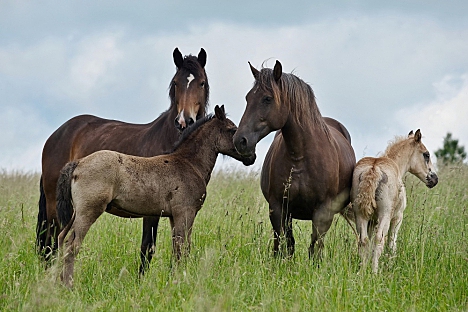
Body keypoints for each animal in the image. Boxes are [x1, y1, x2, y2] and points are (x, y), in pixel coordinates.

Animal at [37, 47, 209, 274]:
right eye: (175, 83)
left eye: (201, 83)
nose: (184, 121)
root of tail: (56, 134)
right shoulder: (152, 211)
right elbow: (148, 246)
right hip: (53, 206)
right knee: (50, 244)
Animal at [56, 106, 258, 288]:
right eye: (232, 129)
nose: (252, 156)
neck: (188, 163)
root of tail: (78, 163)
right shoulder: (185, 212)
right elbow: (182, 248)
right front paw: (180, 281)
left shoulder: (174, 216)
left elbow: (179, 247)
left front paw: (174, 278)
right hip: (88, 211)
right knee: (72, 245)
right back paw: (69, 285)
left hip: (76, 213)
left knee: (61, 238)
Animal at [232, 60, 356, 258]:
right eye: (247, 98)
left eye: (267, 98)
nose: (240, 141)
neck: (300, 157)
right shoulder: (278, 208)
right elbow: (283, 245)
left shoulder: (323, 212)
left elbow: (315, 248)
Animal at [352, 130, 438, 272]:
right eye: (426, 154)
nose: (434, 179)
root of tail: (374, 168)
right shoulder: (397, 217)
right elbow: (392, 242)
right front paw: (391, 264)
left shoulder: (371, 221)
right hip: (385, 214)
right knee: (379, 239)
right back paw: (374, 272)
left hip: (360, 214)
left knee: (363, 240)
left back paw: (363, 272)